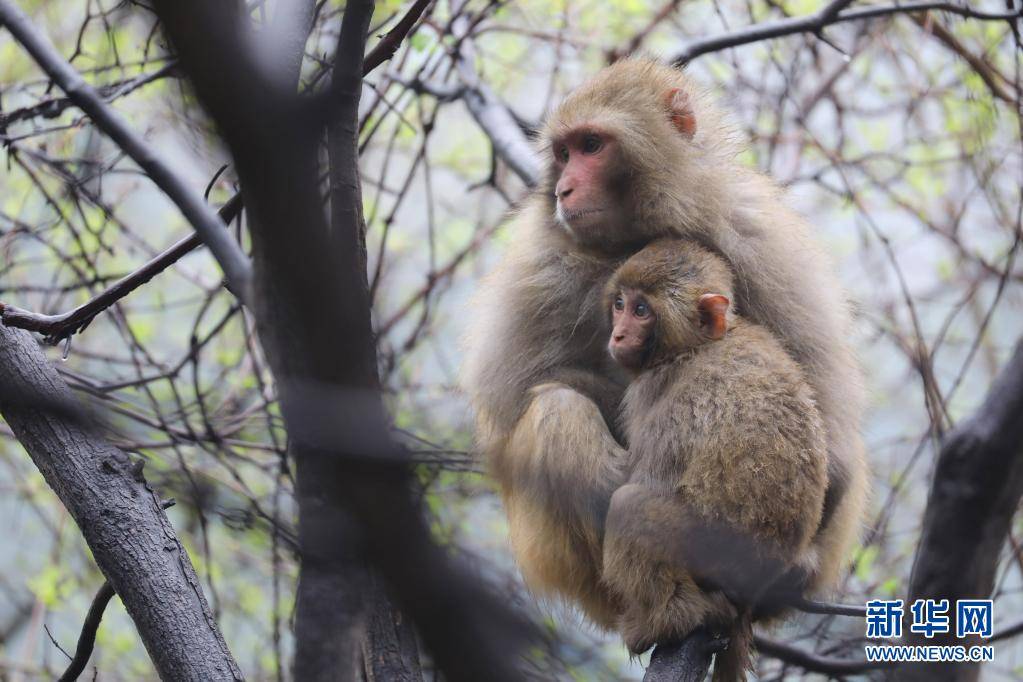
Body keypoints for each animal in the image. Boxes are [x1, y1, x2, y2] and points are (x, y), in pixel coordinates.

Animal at [460, 58, 867, 633]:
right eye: (563, 153)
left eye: (591, 145)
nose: (564, 189)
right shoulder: (544, 264)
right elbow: (510, 398)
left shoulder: (757, 234)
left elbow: (823, 413)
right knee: (557, 410)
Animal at [601, 239, 826, 678]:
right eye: (620, 303)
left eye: (641, 310)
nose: (617, 334)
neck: (700, 345)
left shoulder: (657, 393)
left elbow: (646, 480)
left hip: (707, 548)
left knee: (629, 505)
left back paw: (673, 618)